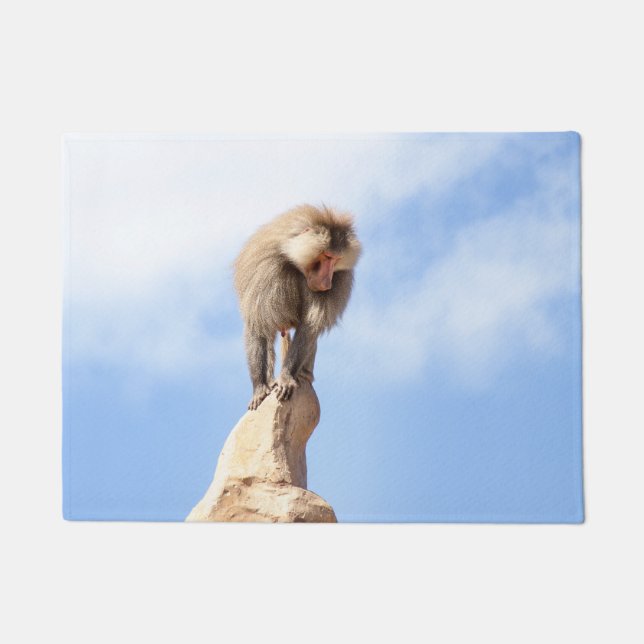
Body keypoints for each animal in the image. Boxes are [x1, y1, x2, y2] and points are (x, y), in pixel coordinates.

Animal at [234, 204, 362, 410]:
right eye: (327, 256)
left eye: (336, 260)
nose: (327, 284)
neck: (294, 260)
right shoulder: (265, 271)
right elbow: (258, 324)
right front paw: (259, 388)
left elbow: (309, 328)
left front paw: (286, 378)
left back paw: (303, 375)